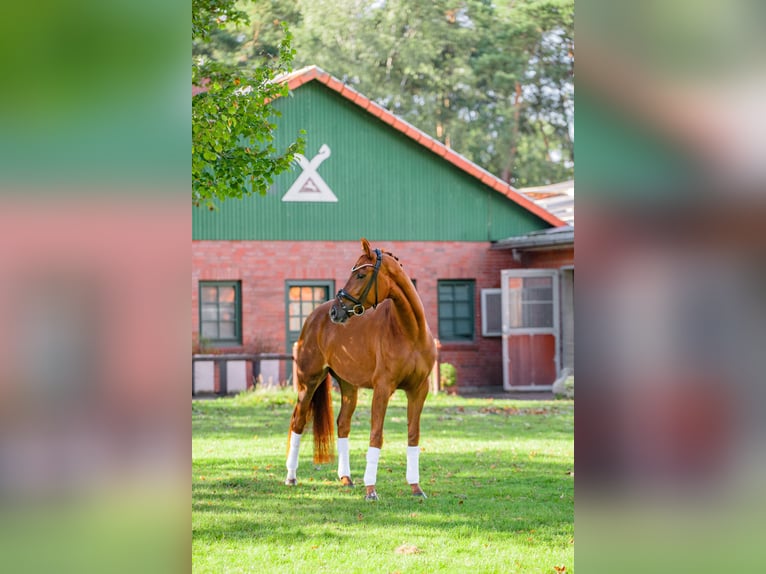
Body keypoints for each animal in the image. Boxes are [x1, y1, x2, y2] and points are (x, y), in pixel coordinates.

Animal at [284, 237, 436, 500]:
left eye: (361, 275)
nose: (336, 311)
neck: (410, 332)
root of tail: (314, 316)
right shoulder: (383, 389)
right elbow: (376, 435)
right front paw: (371, 489)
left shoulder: (419, 390)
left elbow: (413, 435)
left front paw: (416, 488)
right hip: (308, 383)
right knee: (298, 422)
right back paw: (291, 477)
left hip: (348, 386)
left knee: (343, 424)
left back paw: (346, 478)